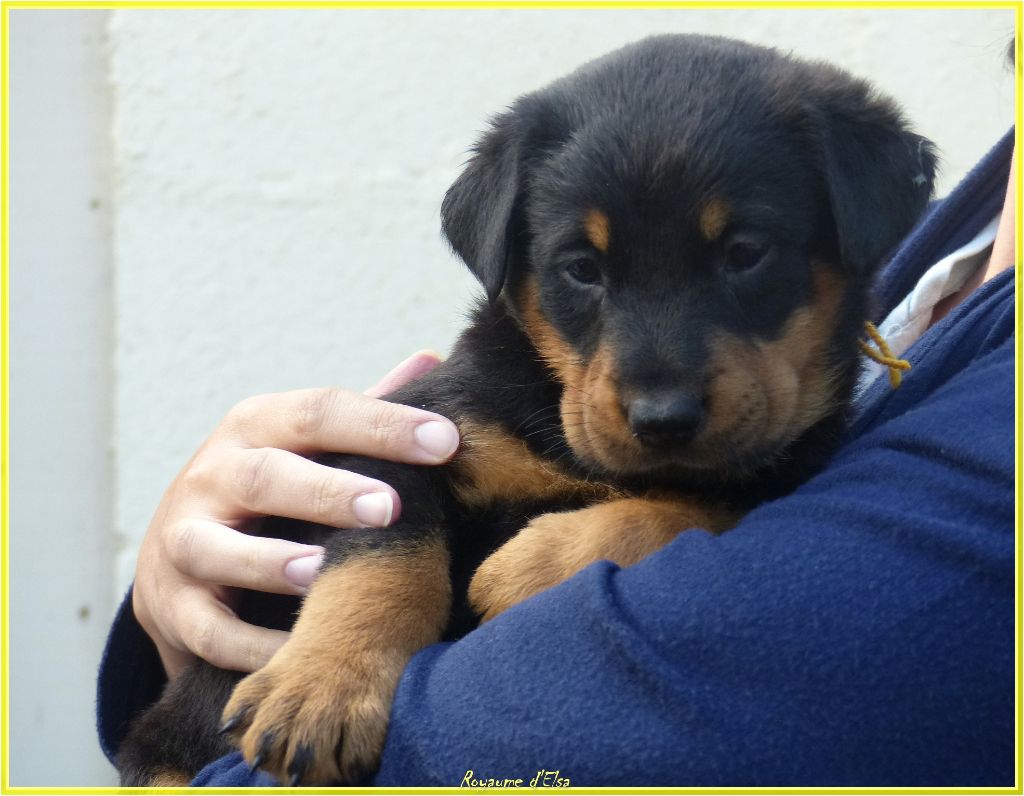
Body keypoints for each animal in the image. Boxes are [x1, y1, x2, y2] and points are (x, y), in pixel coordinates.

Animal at [117, 33, 936, 786]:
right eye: (581, 268)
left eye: (745, 252)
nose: (663, 418)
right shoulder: (405, 437)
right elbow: (383, 556)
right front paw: (322, 690)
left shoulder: (774, 471)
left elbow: (687, 504)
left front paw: (525, 565)